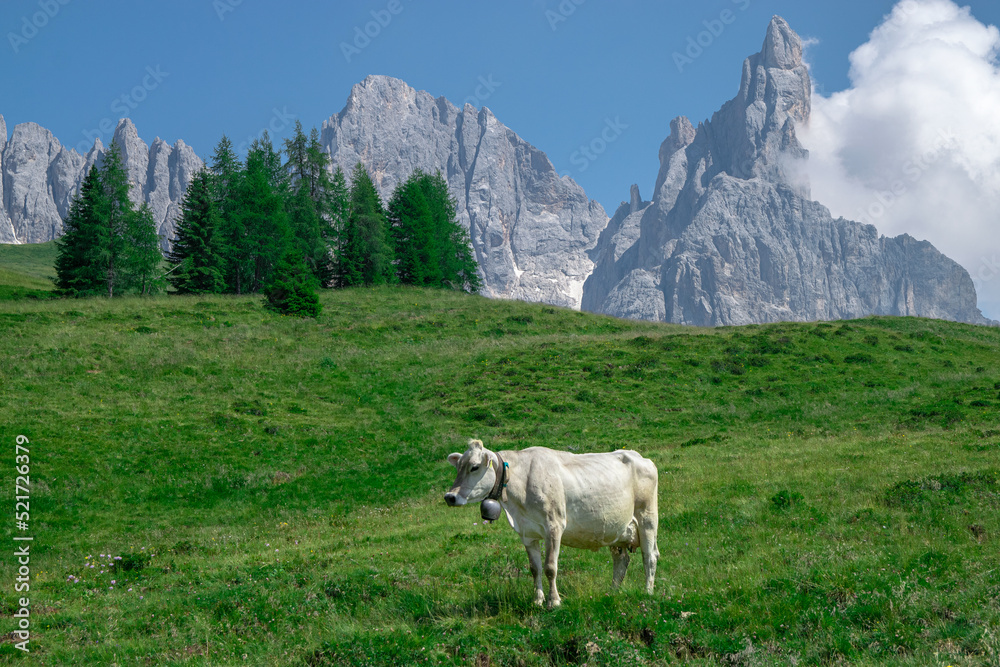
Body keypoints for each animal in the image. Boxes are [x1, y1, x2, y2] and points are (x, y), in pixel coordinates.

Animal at [444, 438, 659, 608]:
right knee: (621, 560)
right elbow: (535, 568)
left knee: (649, 556)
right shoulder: (527, 533)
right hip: (617, 529)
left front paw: (554, 601)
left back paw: (648, 592)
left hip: (647, 518)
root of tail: (640, 457)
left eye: (474, 467)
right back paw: (612, 592)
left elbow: (550, 567)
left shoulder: (554, 526)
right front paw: (537, 600)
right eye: (458, 467)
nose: (450, 497)